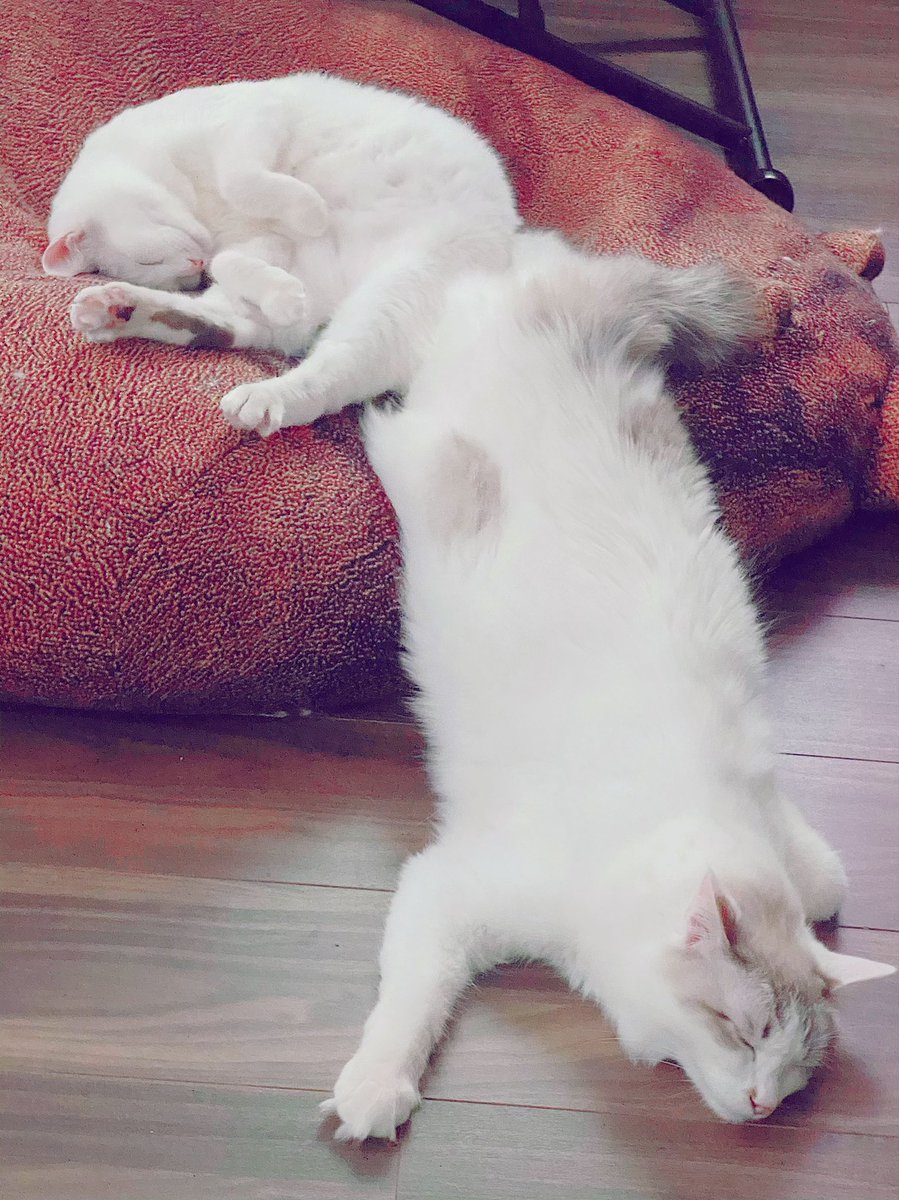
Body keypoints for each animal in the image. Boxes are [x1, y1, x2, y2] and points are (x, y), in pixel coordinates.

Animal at [42, 71, 519, 435]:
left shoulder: (252, 119)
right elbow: (229, 258)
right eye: (160, 270)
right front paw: (283, 283)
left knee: (331, 371)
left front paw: (312, 212)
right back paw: (116, 308)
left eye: (149, 261)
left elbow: (241, 182)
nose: (193, 269)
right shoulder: (266, 243)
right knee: (236, 327)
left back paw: (265, 391)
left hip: (399, 293)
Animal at [321, 232, 895, 1141]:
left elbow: (827, 880)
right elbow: (410, 1003)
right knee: (345, 362)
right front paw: (376, 1089)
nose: (765, 1105)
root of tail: (586, 305)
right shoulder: (447, 890)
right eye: (741, 1031)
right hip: (399, 369)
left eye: (799, 1069)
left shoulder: (791, 843)